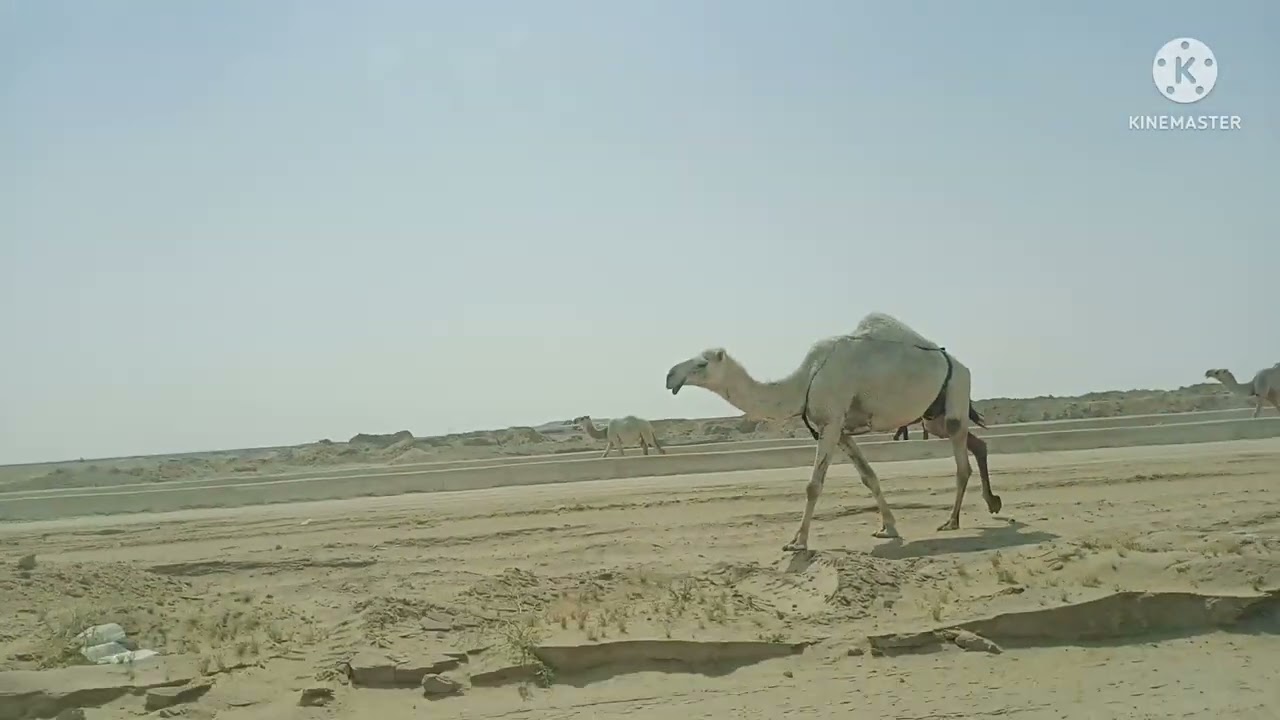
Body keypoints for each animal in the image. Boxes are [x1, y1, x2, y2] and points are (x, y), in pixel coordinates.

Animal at [664, 312, 1000, 551]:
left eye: (701, 364)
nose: (670, 376)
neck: (807, 378)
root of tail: (960, 365)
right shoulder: (840, 429)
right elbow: (868, 476)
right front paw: (888, 527)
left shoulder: (831, 422)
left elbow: (813, 486)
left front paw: (797, 542)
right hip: (933, 415)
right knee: (976, 444)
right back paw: (992, 503)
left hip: (956, 394)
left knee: (961, 463)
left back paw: (952, 521)